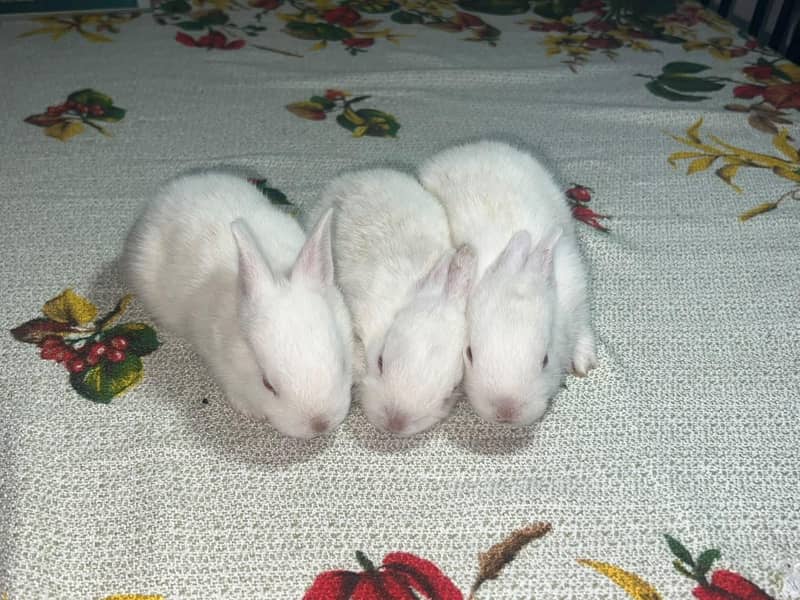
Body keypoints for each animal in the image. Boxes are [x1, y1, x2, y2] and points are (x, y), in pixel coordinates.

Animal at [122, 172, 353, 439]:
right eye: (267, 384)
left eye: (343, 363)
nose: (319, 424)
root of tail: (166, 193)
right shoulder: (220, 362)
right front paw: (250, 411)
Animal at [418, 140, 597, 427]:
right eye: (469, 353)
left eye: (545, 359)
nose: (506, 411)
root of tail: (473, 148)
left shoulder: (575, 292)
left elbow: (583, 328)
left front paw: (583, 363)